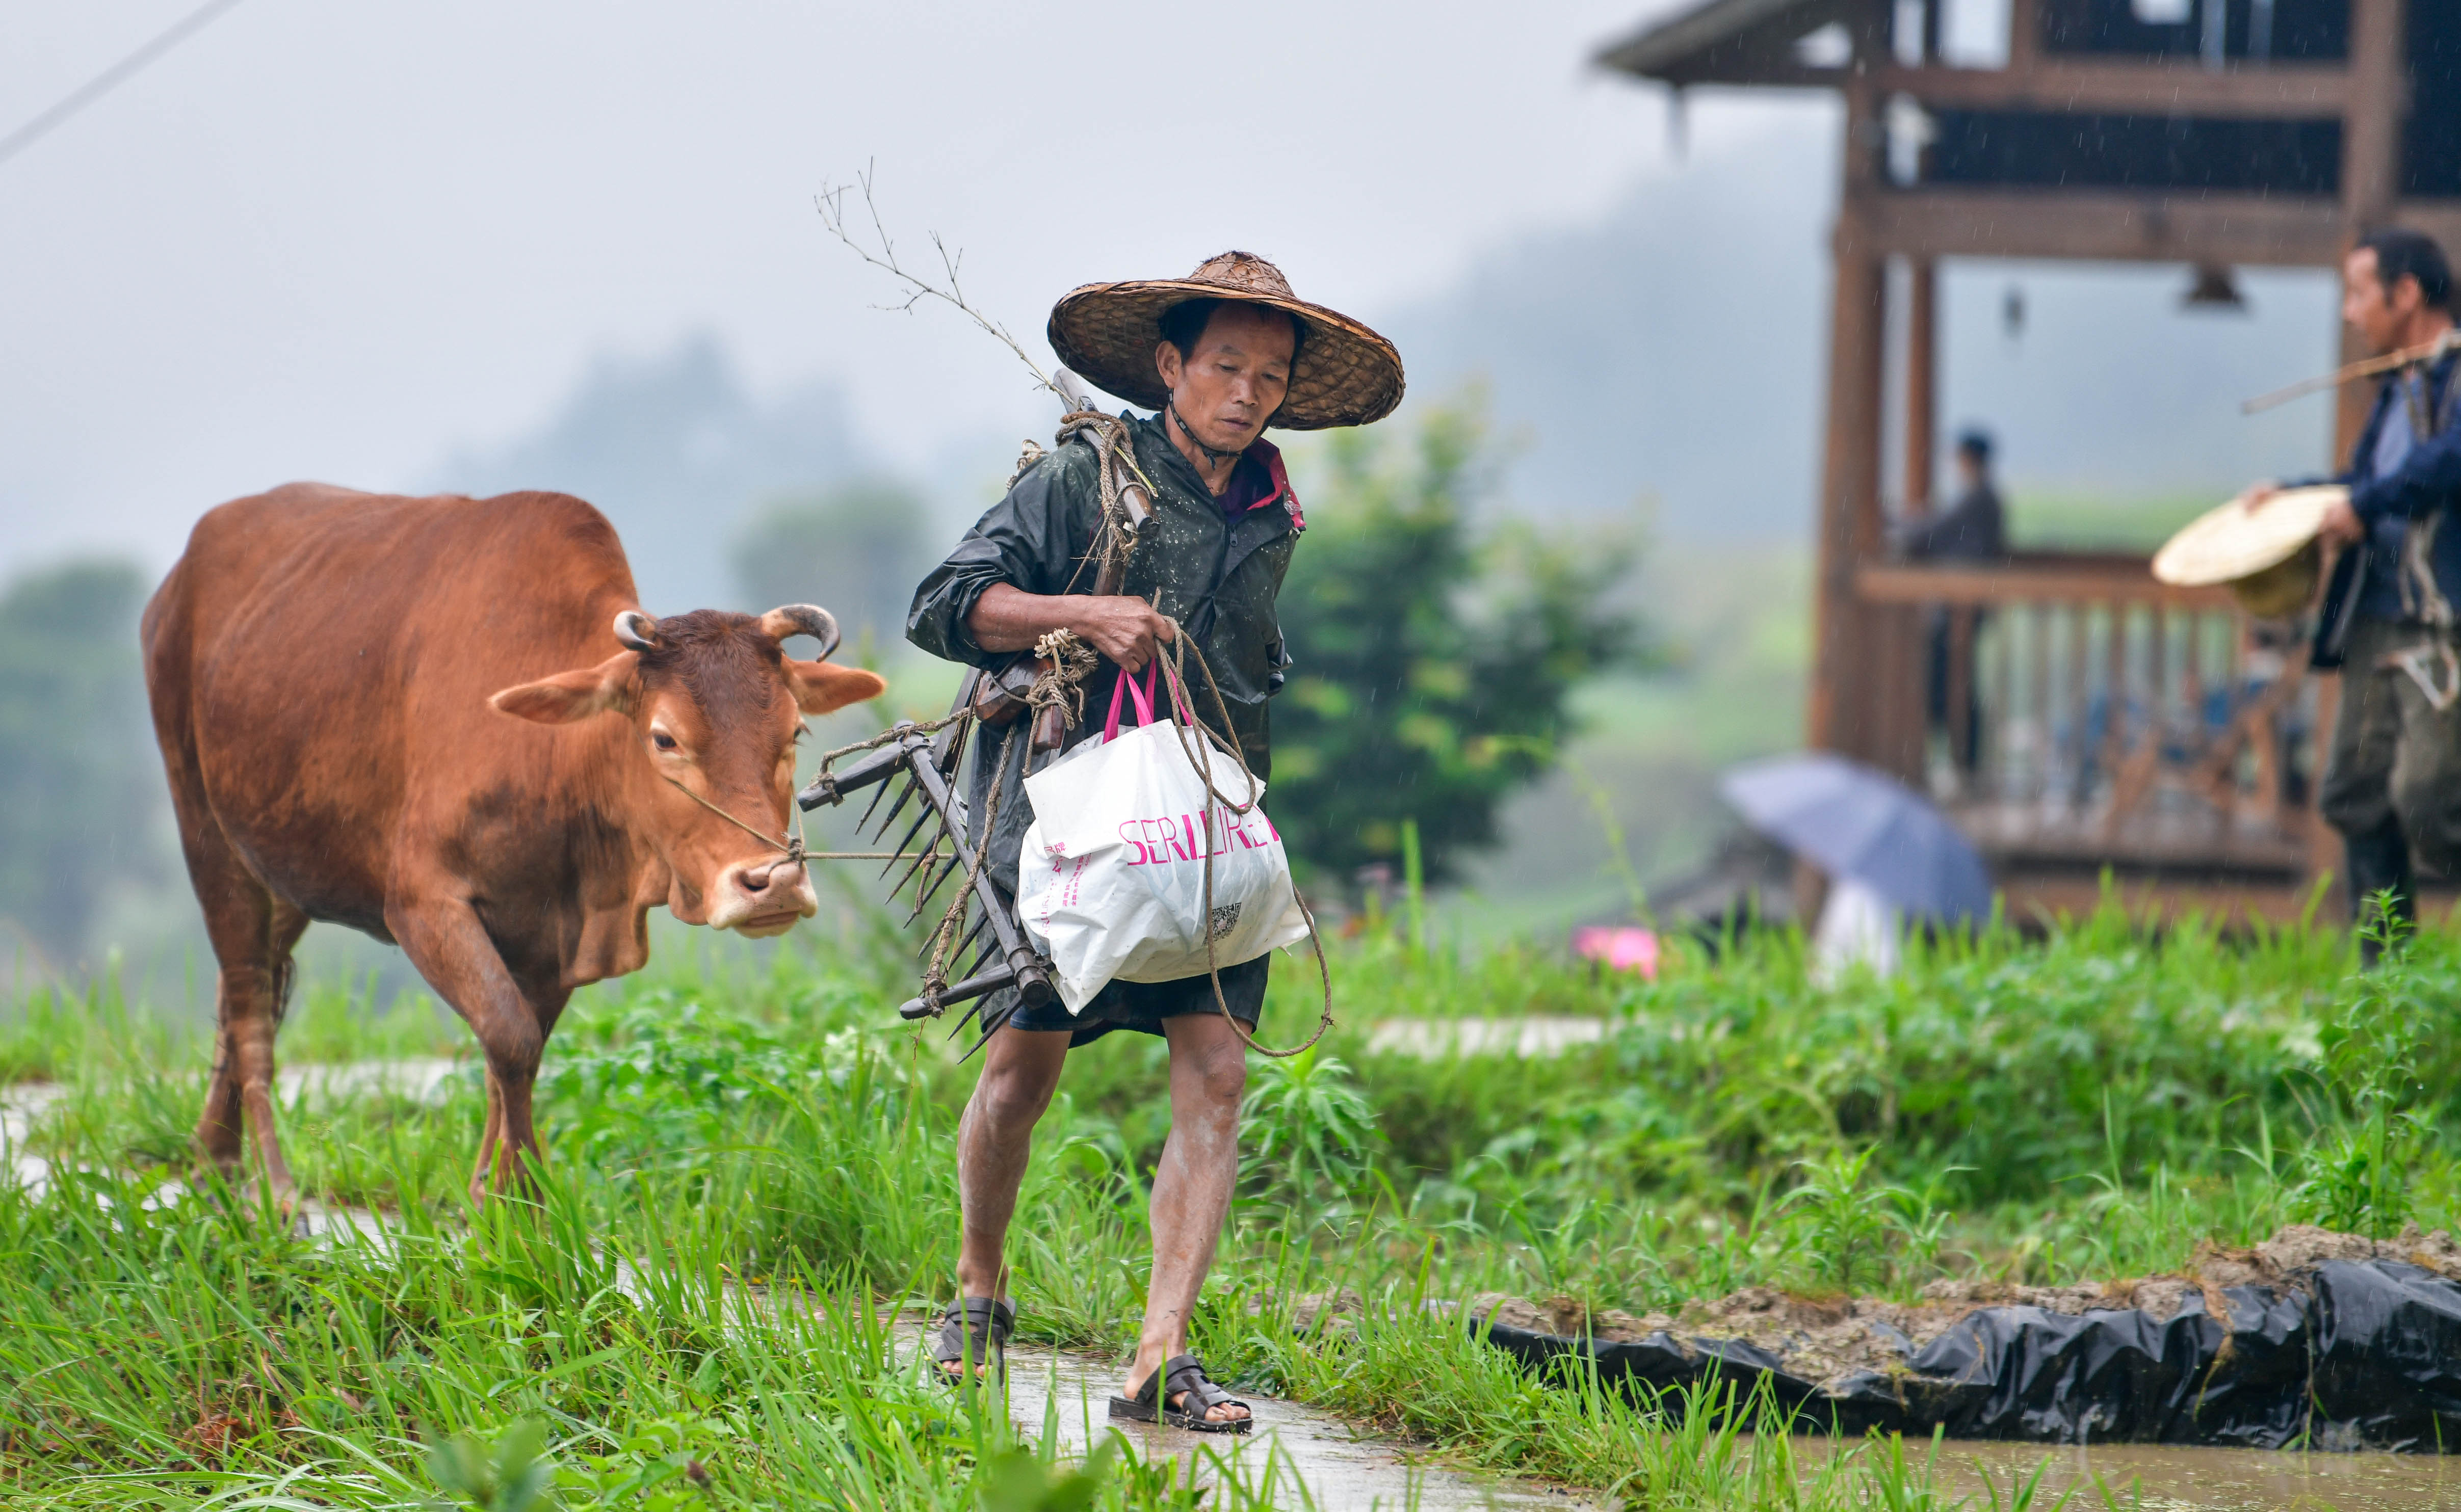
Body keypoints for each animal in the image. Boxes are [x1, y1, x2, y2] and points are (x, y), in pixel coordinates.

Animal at [141, 484, 886, 1204]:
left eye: (794, 732)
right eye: (664, 737)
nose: (773, 883)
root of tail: (175, 584)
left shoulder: (553, 934)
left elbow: (516, 1051)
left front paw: (492, 1192)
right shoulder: (421, 905)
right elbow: (511, 1038)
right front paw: (522, 1196)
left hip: (285, 867)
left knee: (250, 991)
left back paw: (211, 1160)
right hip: (206, 834)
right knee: (249, 1007)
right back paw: (271, 1186)